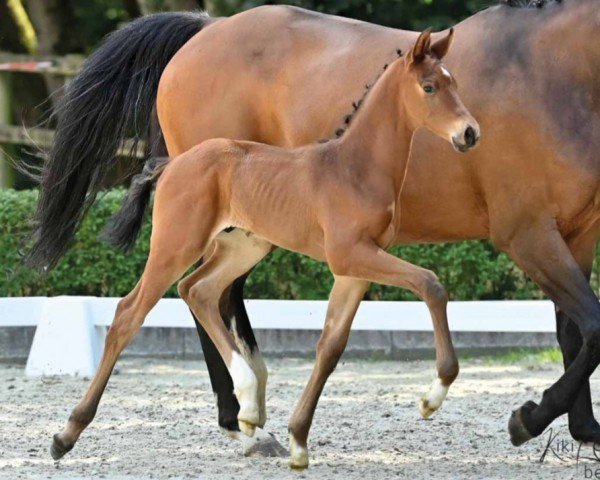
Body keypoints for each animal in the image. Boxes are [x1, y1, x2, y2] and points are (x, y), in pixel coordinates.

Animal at [30, 0, 600, 460]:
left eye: (458, 83)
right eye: (430, 86)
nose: (470, 133)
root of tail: (201, 32)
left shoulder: (576, 233)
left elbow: (572, 331)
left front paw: (580, 428)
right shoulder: (522, 233)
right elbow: (569, 319)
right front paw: (520, 417)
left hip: (242, 242)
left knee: (202, 291)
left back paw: (249, 411)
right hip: (184, 240)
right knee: (142, 309)